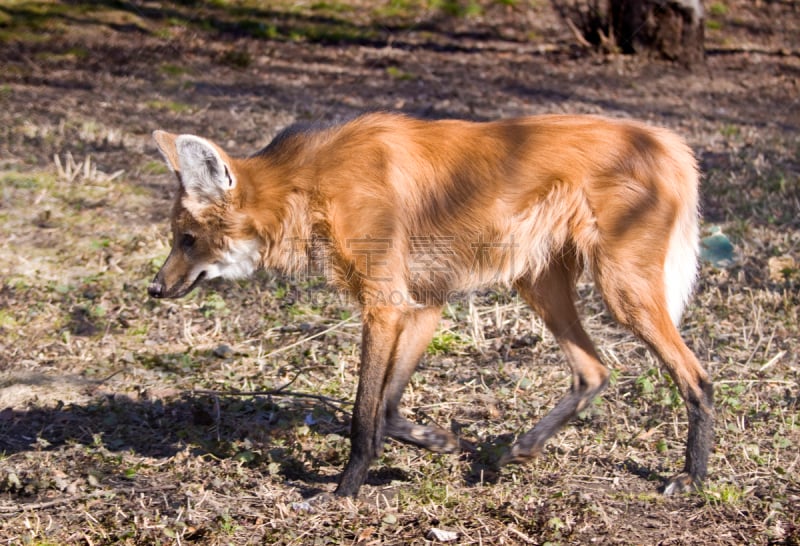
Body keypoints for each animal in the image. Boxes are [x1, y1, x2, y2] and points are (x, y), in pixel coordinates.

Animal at [148, 112, 712, 496]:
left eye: (187, 239)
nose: (155, 289)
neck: (308, 186)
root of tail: (666, 140)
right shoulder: (421, 306)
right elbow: (387, 407)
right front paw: (438, 442)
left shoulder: (384, 306)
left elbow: (363, 414)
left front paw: (343, 491)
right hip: (538, 282)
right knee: (593, 370)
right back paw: (522, 448)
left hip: (622, 290)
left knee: (698, 378)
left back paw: (691, 478)